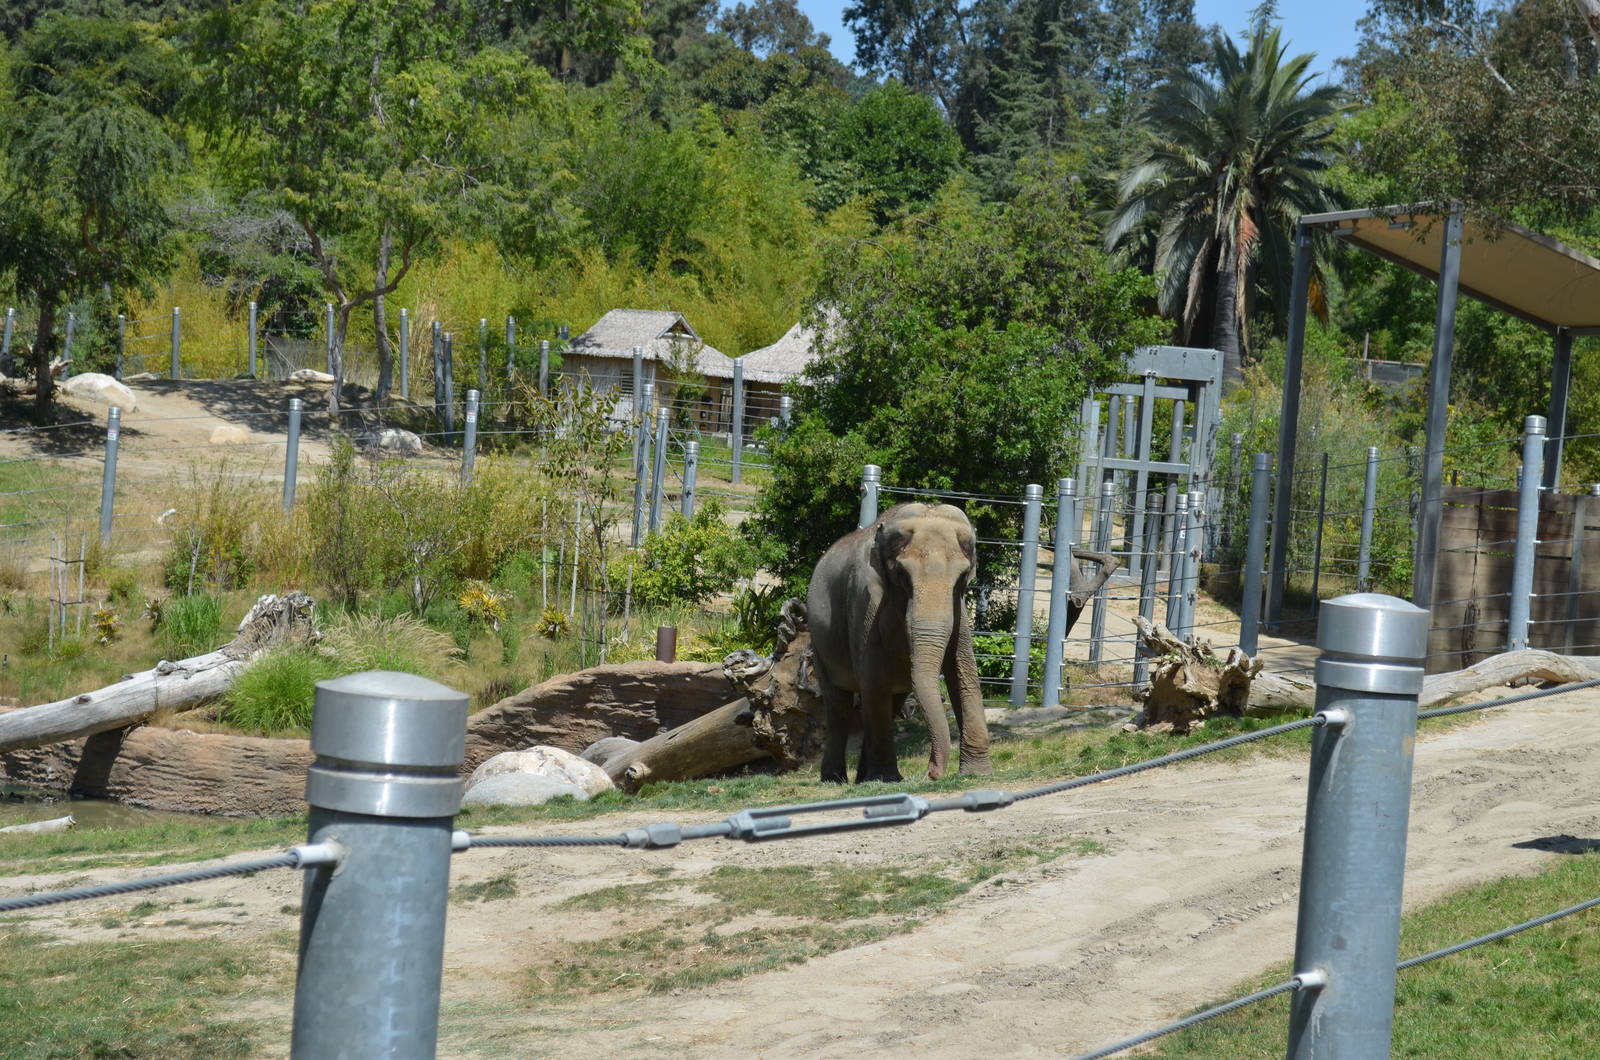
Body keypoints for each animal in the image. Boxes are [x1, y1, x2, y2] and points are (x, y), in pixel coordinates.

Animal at [806, 503, 991, 784]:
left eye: (961, 579)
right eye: (903, 577)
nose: (931, 772)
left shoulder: (958, 609)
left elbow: (963, 671)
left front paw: (976, 774)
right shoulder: (864, 599)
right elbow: (873, 678)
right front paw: (887, 778)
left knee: (889, 704)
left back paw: (863, 779)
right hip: (819, 643)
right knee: (840, 705)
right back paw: (836, 779)